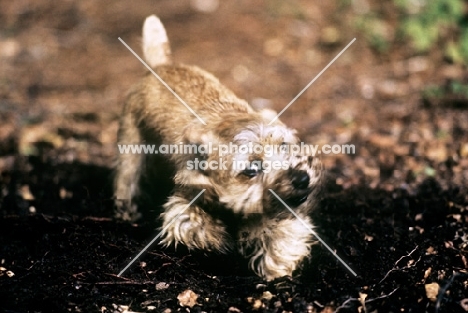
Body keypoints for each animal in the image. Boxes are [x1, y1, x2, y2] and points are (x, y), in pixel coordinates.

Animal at [114, 14, 322, 280]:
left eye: (284, 146)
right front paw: (222, 238)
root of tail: (161, 65)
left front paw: (276, 264)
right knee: (126, 180)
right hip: (131, 149)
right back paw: (127, 211)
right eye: (251, 170)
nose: (302, 178)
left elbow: (281, 232)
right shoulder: (183, 207)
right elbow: (199, 225)